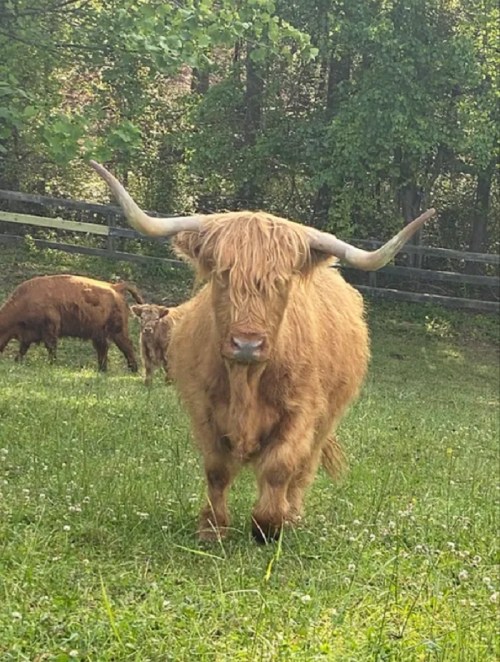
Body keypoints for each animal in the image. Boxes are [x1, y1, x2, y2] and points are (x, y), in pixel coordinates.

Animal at [0, 274, 143, 371]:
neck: (25, 300)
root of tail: (115, 287)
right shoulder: (28, 334)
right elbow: (23, 348)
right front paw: (17, 360)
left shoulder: (50, 329)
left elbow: (51, 348)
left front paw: (51, 363)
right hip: (99, 334)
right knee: (103, 349)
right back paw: (102, 370)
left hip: (118, 331)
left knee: (127, 347)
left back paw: (133, 370)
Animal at [91, 161, 435, 543]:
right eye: (223, 275)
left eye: (281, 281)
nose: (247, 343)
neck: (246, 382)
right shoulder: (204, 410)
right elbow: (217, 470)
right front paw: (212, 527)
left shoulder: (301, 412)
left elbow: (280, 467)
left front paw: (269, 524)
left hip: (327, 419)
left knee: (303, 469)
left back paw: (293, 515)